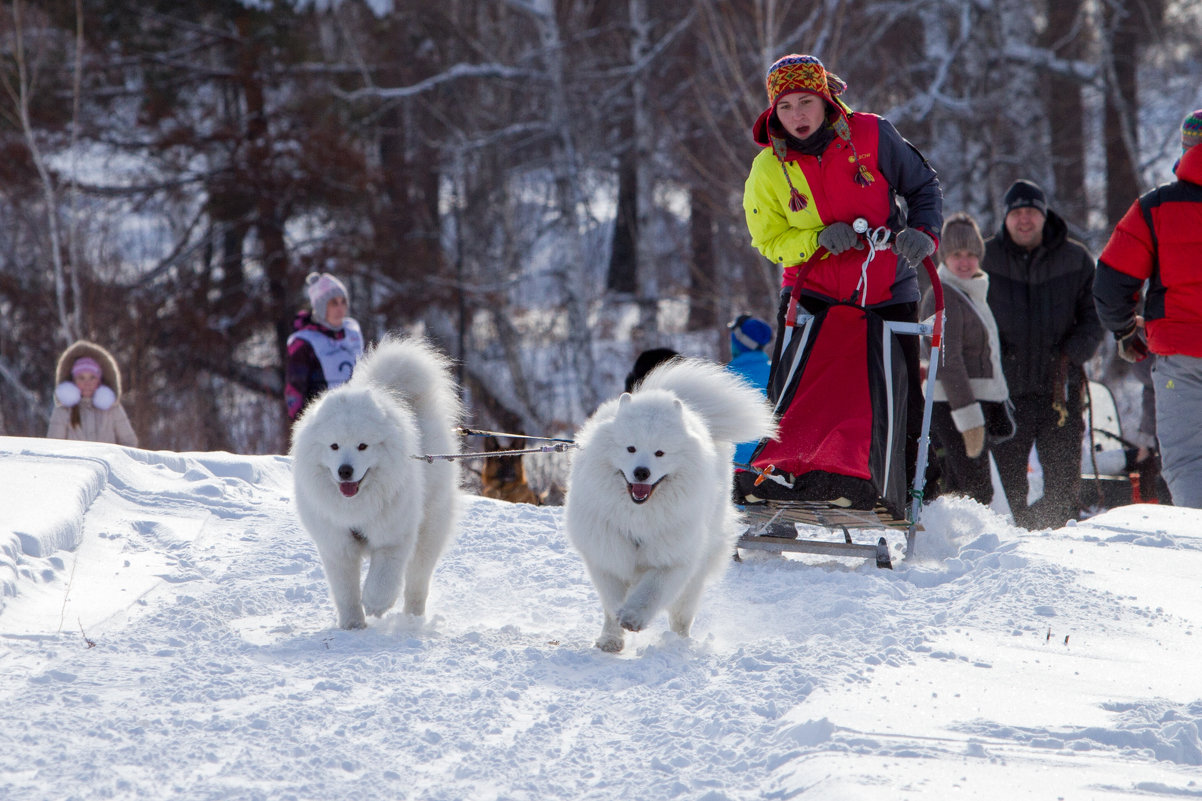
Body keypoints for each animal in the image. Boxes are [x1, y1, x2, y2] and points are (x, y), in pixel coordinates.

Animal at [288, 334, 461, 625]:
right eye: (334, 446)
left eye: (362, 446)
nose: (345, 471)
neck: (357, 507)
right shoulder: (336, 545)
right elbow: (345, 591)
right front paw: (352, 625)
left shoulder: (393, 537)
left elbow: (383, 579)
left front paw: (375, 604)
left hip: (429, 529)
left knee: (417, 582)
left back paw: (412, 619)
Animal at [564, 356, 774, 649]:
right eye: (630, 448)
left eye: (660, 453)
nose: (642, 472)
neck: (639, 514)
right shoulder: (607, 554)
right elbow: (612, 601)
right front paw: (613, 636)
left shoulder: (672, 558)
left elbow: (652, 592)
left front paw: (633, 617)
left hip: (698, 567)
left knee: (682, 614)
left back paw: (680, 642)